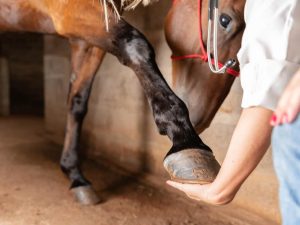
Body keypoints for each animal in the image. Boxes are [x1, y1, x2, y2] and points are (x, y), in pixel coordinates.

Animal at [0, 0, 244, 204]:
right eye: (225, 20)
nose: (200, 117)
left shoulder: (87, 39)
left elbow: (77, 102)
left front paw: (75, 175)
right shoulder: (71, 11)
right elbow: (135, 44)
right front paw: (185, 139)